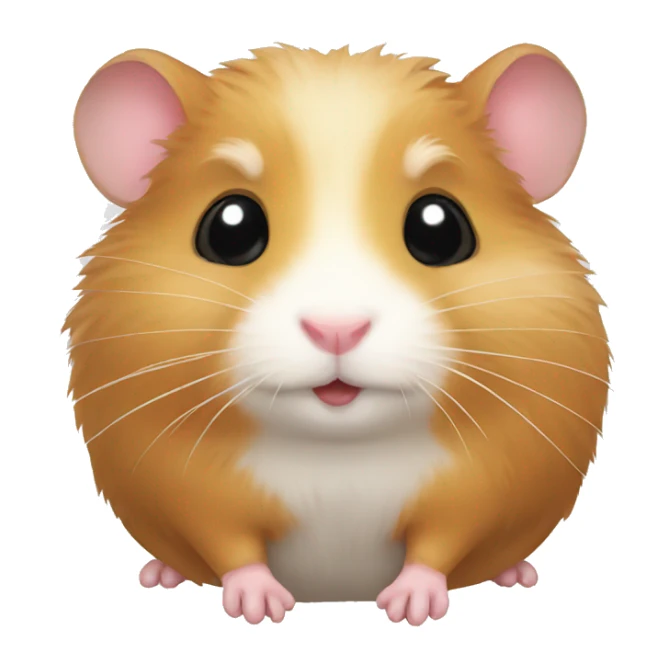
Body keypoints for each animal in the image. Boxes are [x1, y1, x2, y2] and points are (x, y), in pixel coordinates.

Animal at [65, 43, 610, 626]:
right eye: (229, 228)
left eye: (440, 228)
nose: (337, 329)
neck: (340, 453)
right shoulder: (181, 484)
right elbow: (226, 540)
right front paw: (259, 607)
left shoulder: (489, 483)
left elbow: (444, 538)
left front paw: (411, 607)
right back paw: (162, 573)